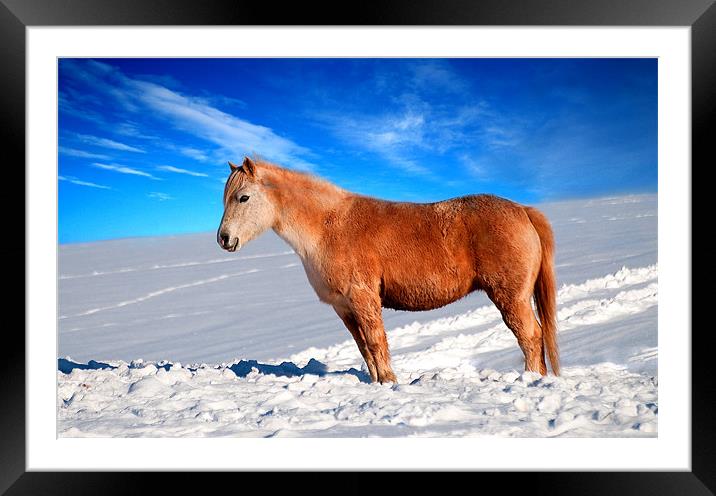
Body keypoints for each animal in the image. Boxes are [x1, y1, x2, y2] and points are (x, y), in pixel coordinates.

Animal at [218, 157, 560, 382]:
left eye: (243, 197)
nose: (224, 238)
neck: (329, 226)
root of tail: (523, 211)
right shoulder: (344, 307)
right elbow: (364, 348)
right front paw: (379, 382)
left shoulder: (363, 297)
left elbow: (375, 342)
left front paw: (390, 382)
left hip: (510, 296)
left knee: (530, 336)